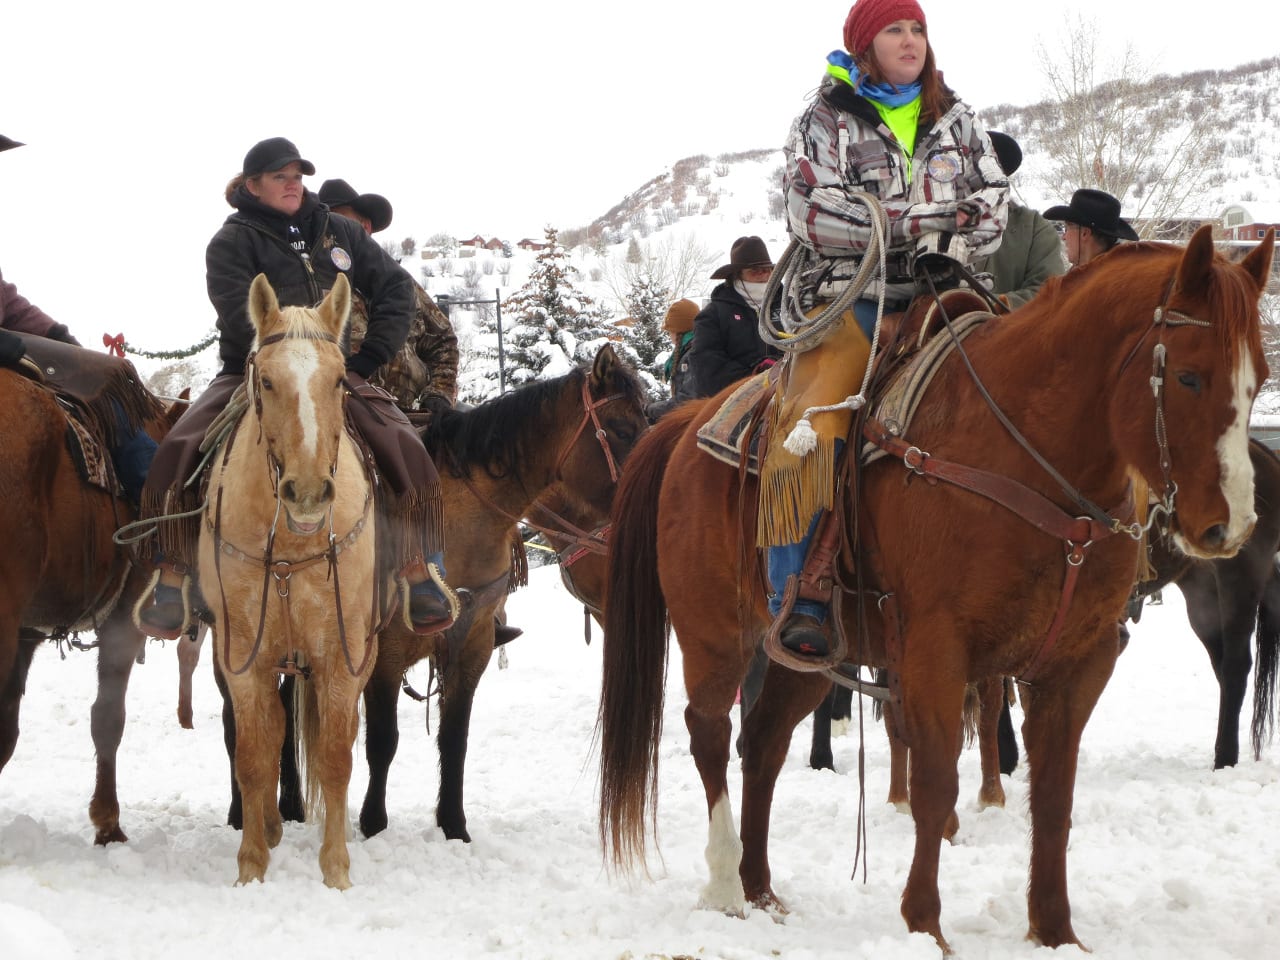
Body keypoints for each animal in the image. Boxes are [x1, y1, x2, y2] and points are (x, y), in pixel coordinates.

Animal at [194, 271, 373, 885]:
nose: (309, 493)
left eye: (340, 379)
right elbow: (254, 754)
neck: (294, 547)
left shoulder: (343, 656)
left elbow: (336, 756)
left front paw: (337, 869)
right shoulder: (242, 657)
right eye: (266, 381)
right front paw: (252, 866)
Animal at [360, 348, 645, 839]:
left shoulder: (473, 641)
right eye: (623, 429)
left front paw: (453, 827)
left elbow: (454, 739)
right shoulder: (387, 648)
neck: (453, 522)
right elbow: (382, 740)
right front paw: (372, 825)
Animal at [601, 227, 1280, 957]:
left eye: (1259, 380)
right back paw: (727, 884)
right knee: (710, 732)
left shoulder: (1079, 661)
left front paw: (1054, 929)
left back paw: (761, 889)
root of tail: (687, 424)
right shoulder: (934, 652)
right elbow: (934, 783)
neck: (1028, 459)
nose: (1231, 524)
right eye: (1188, 375)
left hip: (804, 653)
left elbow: (1054, 795)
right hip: (714, 631)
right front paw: (924, 923)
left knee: (762, 741)